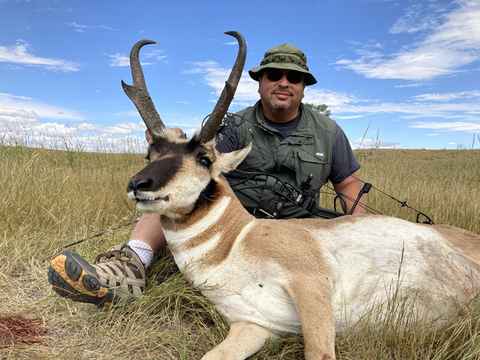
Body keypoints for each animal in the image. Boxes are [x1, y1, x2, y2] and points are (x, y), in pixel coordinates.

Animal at [124, 32, 480, 358]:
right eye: (150, 153)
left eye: (204, 159)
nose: (138, 184)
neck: (235, 240)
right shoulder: (255, 325)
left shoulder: (309, 280)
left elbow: (319, 352)